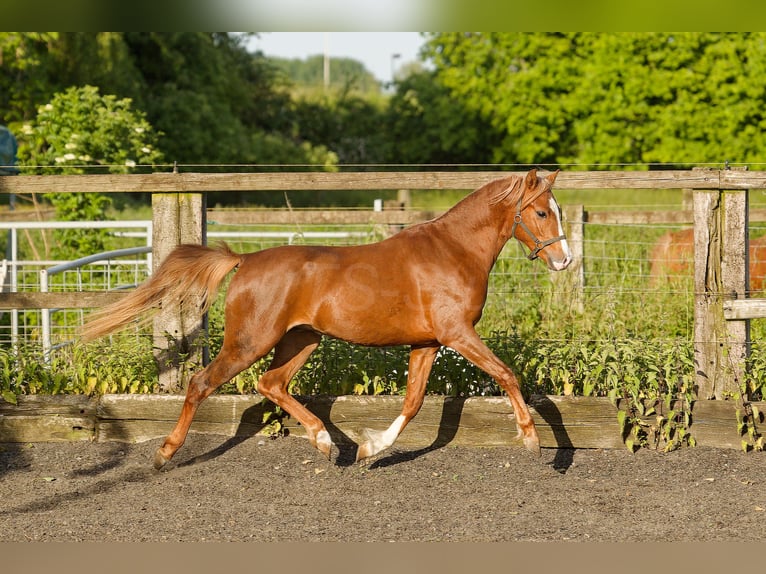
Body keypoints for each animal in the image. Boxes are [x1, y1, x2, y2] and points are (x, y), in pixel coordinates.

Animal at [85, 169, 576, 470]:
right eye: (540, 211)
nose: (564, 260)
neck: (453, 251)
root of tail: (245, 260)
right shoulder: (457, 333)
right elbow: (507, 375)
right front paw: (534, 442)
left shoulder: (428, 342)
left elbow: (414, 401)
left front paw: (369, 448)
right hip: (251, 341)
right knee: (202, 382)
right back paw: (165, 454)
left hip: (301, 340)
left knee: (271, 383)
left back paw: (325, 443)